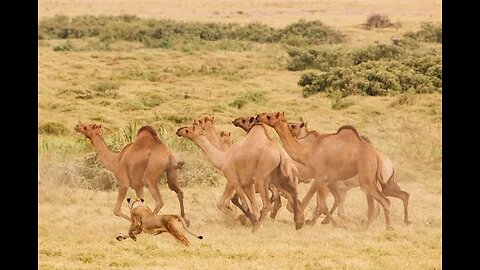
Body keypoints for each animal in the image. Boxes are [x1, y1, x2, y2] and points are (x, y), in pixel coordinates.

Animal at [176, 123, 304, 231]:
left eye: (188, 129)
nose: (179, 130)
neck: (223, 159)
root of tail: (280, 152)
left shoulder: (233, 180)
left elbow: (237, 204)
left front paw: (242, 219)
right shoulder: (247, 183)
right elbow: (251, 206)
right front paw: (251, 221)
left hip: (261, 177)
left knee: (268, 204)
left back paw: (256, 228)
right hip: (285, 173)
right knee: (293, 194)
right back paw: (298, 223)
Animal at [256, 112, 396, 230]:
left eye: (269, 116)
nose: (258, 116)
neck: (309, 150)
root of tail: (377, 156)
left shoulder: (320, 176)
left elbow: (314, 202)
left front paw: (302, 222)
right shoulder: (326, 180)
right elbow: (323, 203)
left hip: (366, 177)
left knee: (384, 201)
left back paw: (386, 228)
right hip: (368, 180)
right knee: (374, 205)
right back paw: (366, 227)